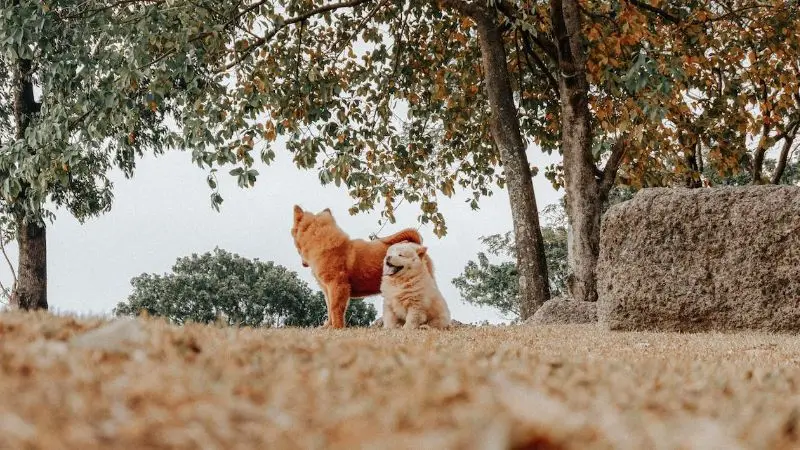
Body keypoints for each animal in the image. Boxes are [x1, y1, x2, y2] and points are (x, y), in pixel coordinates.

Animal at [290, 206, 434, 328]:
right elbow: (329, 308)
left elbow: (336, 308)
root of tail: (416, 247)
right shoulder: (327, 289)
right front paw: (327, 327)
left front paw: (337, 328)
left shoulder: (337, 286)